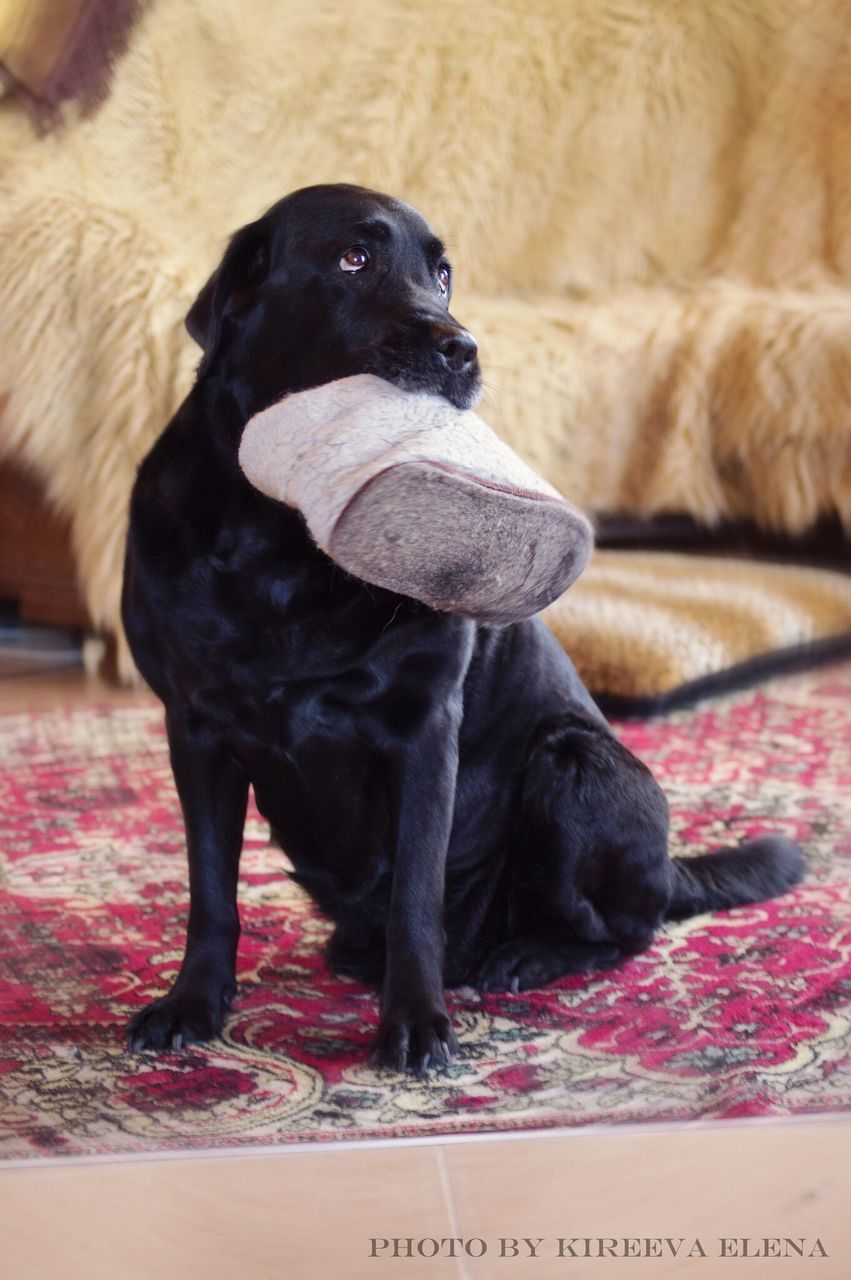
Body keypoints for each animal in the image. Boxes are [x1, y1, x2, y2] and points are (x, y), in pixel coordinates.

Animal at [120, 185, 803, 1070]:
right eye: (353, 258)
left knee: (623, 930)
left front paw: (415, 1023)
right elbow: (209, 888)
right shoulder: (196, 728)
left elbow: (417, 893)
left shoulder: (422, 728)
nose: (462, 348)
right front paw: (192, 1004)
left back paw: (521, 957)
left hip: (574, 764)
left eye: (441, 273)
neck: (281, 542)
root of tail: (668, 868)